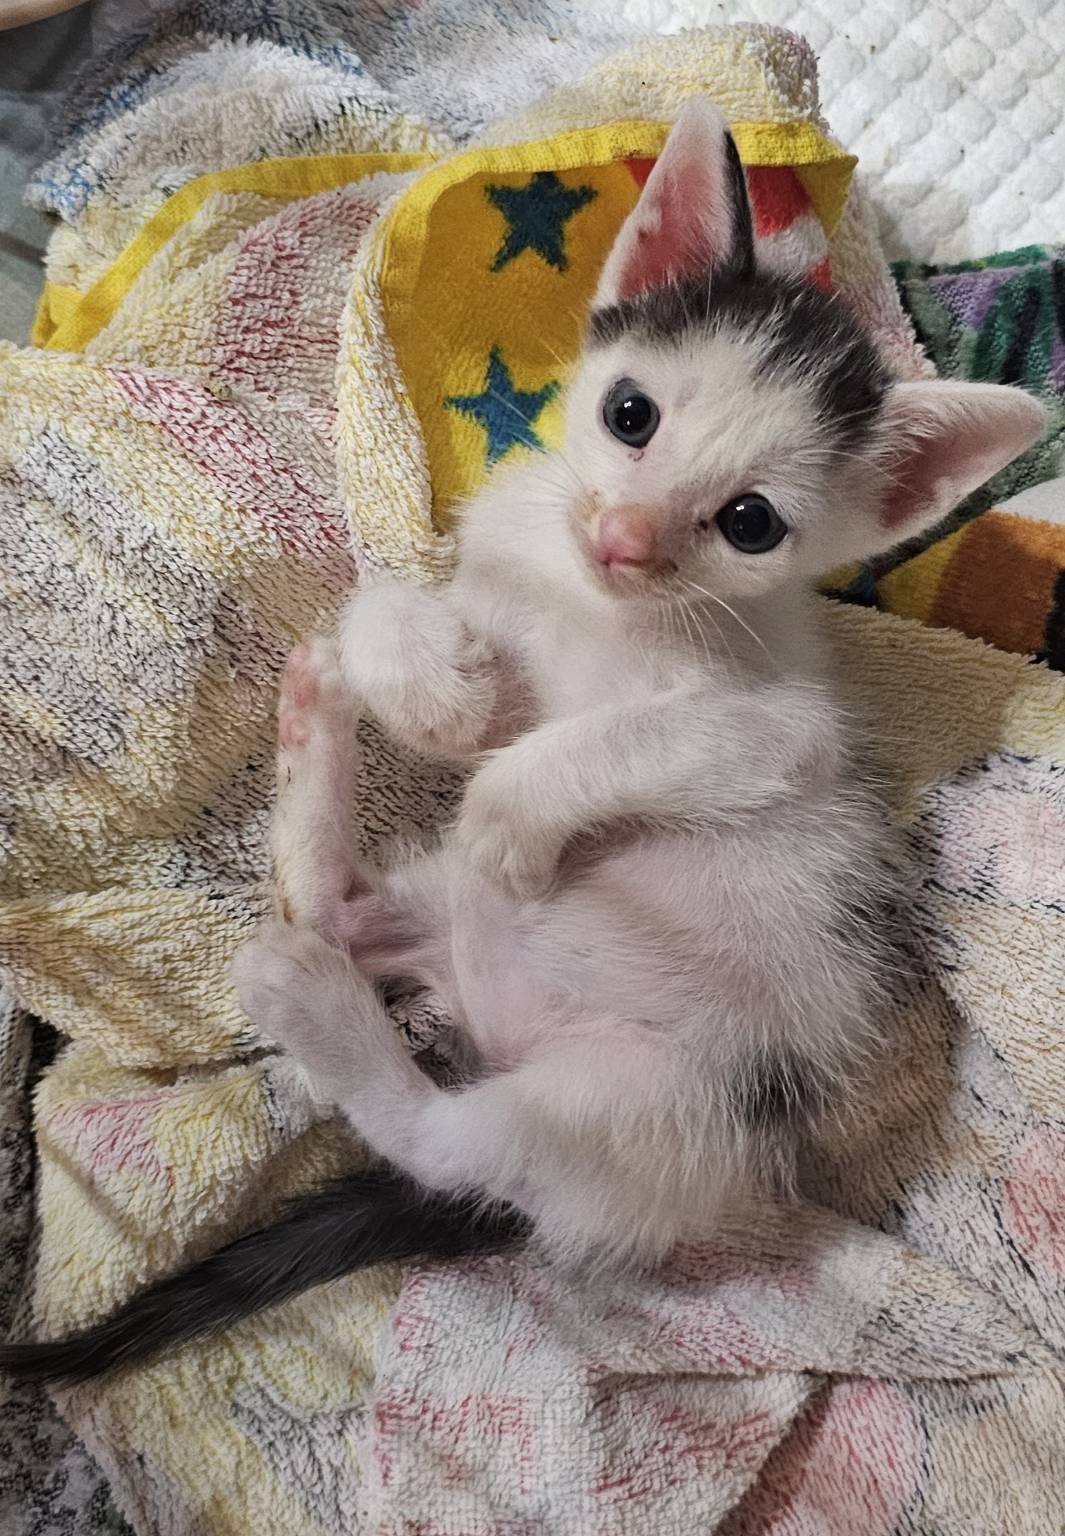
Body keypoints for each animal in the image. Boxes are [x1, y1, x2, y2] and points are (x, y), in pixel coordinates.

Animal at [1, 98, 1043, 1385]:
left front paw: (509, 813)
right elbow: (397, 609)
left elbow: (605, 741)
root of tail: (493, 1015)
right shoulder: (499, 586)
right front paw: (425, 688)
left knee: (445, 1137)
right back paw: (312, 728)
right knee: (334, 904)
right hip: (443, 913)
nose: (626, 539)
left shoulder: (776, 728)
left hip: (650, 1108)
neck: (593, 605)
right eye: (630, 415)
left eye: (750, 523)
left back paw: (323, 1005)